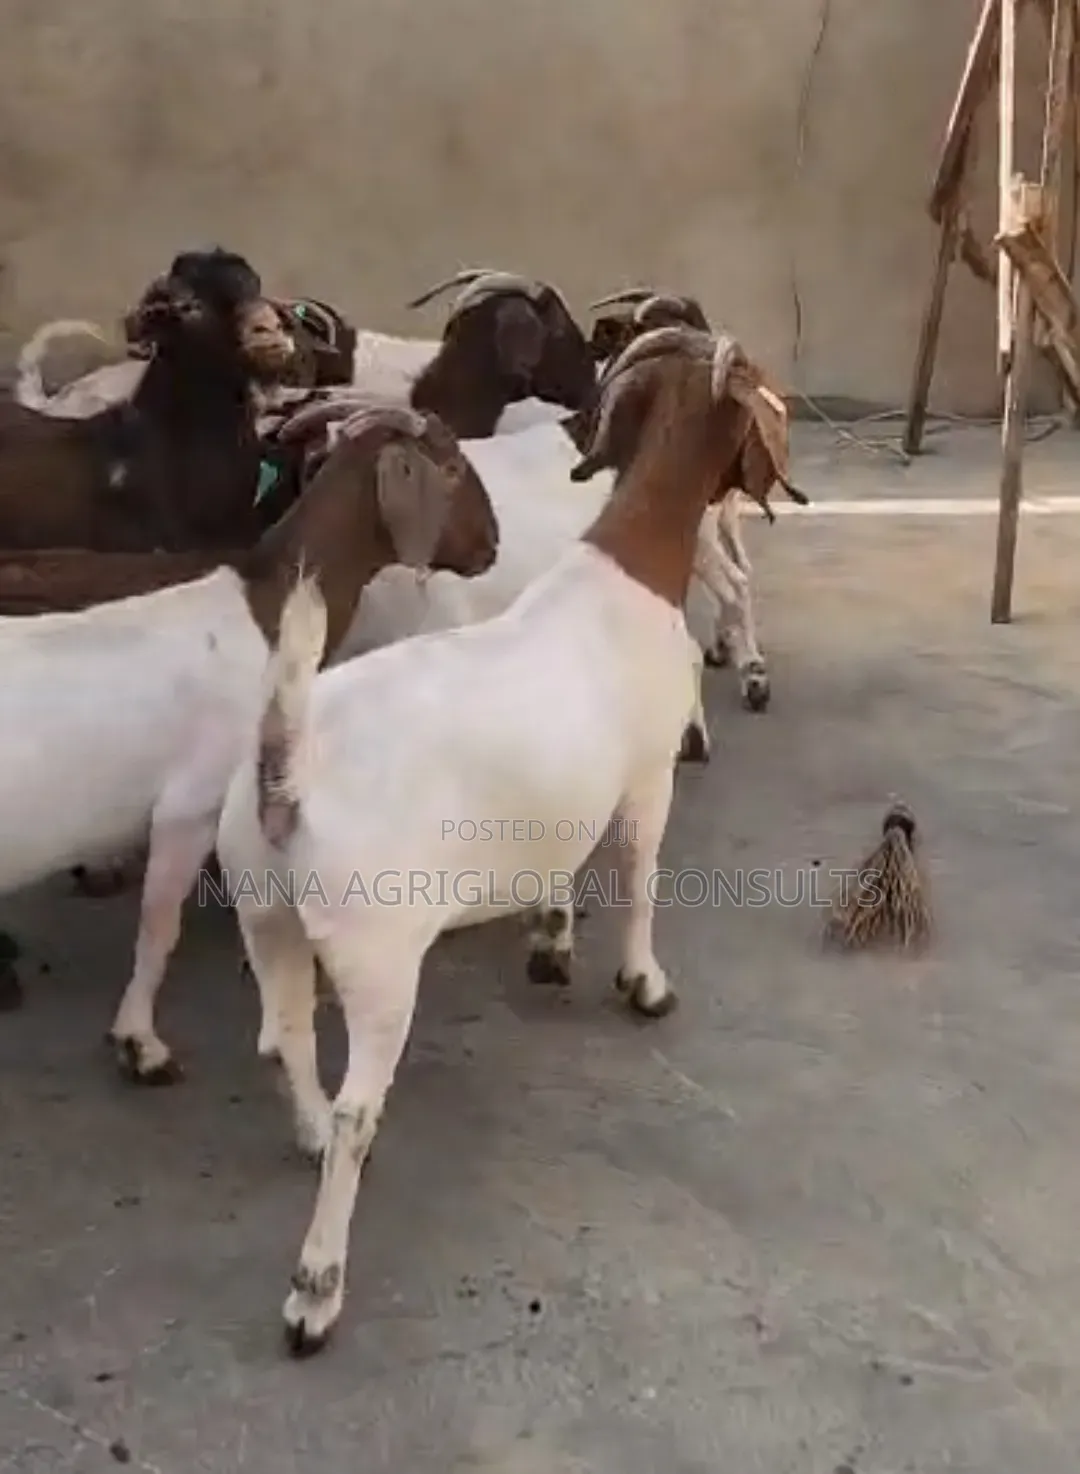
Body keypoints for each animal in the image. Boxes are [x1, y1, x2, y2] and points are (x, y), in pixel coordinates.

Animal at [0, 404, 498, 1074]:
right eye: (450, 469)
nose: (492, 544)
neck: (269, 610)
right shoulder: (192, 803)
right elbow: (159, 927)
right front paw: (140, 1041)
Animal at [215, 324, 772, 1355]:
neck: (629, 564)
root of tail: (287, 768)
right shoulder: (647, 777)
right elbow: (641, 877)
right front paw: (644, 984)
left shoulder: (558, 801)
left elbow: (559, 868)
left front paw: (551, 939)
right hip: (379, 953)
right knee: (357, 1109)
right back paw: (315, 1289)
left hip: (263, 913)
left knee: (282, 1040)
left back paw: (304, 1138)